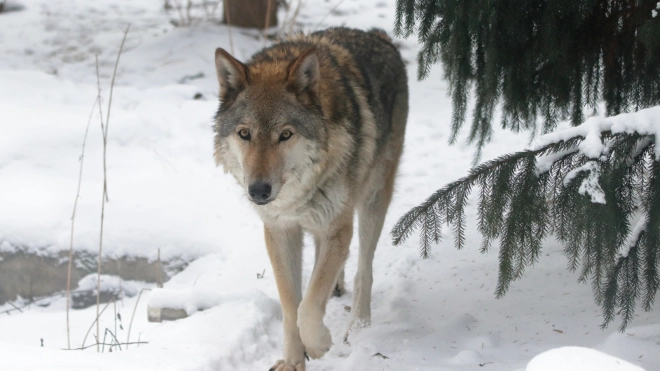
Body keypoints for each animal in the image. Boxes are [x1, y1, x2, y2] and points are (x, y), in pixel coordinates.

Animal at [211, 27, 408, 370]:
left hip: (372, 202)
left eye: (285, 135)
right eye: (244, 134)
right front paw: (293, 361)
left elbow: (309, 306)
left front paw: (319, 345)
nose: (258, 191)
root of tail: (378, 35)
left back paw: (358, 326)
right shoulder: (280, 231)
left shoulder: (337, 229)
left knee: (364, 269)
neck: (296, 195)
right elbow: (292, 306)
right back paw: (337, 287)